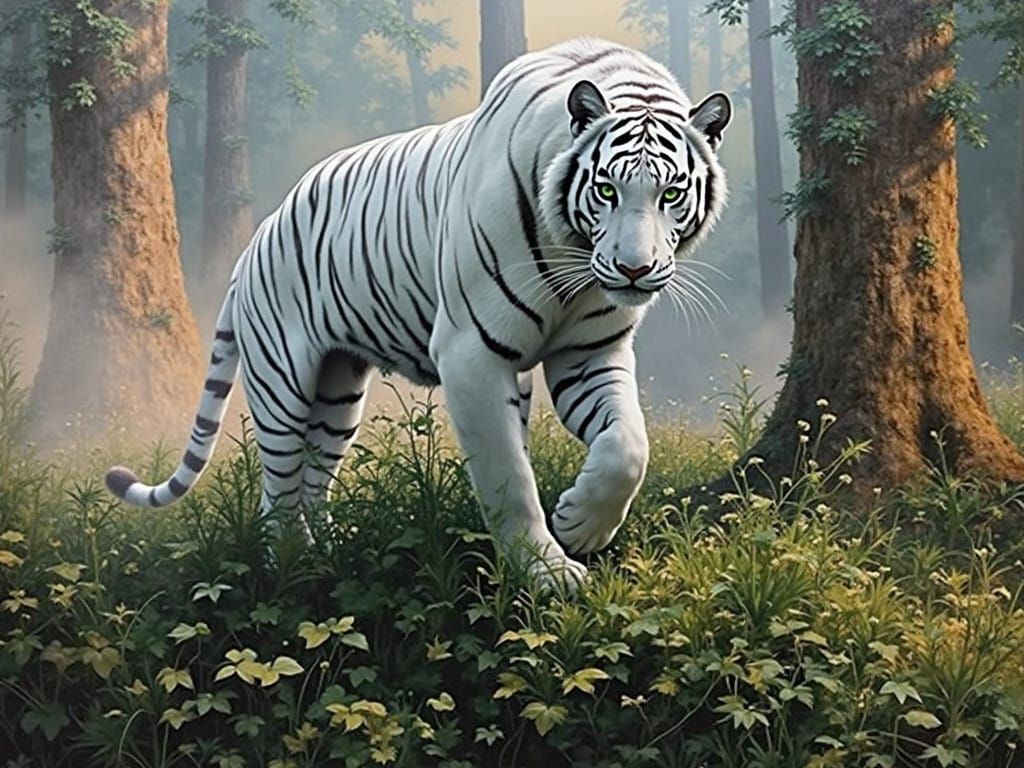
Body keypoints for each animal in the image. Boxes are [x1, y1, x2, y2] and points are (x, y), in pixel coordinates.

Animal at [105, 37, 731, 584]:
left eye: (671, 194)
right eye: (605, 190)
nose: (633, 269)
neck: (573, 256)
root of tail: (255, 241)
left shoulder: (589, 353)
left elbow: (628, 445)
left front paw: (581, 525)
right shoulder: (471, 353)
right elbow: (508, 477)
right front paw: (546, 574)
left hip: (338, 394)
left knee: (313, 481)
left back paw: (326, 555)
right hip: (282, 384)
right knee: (277, 493)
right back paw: (292, 569)